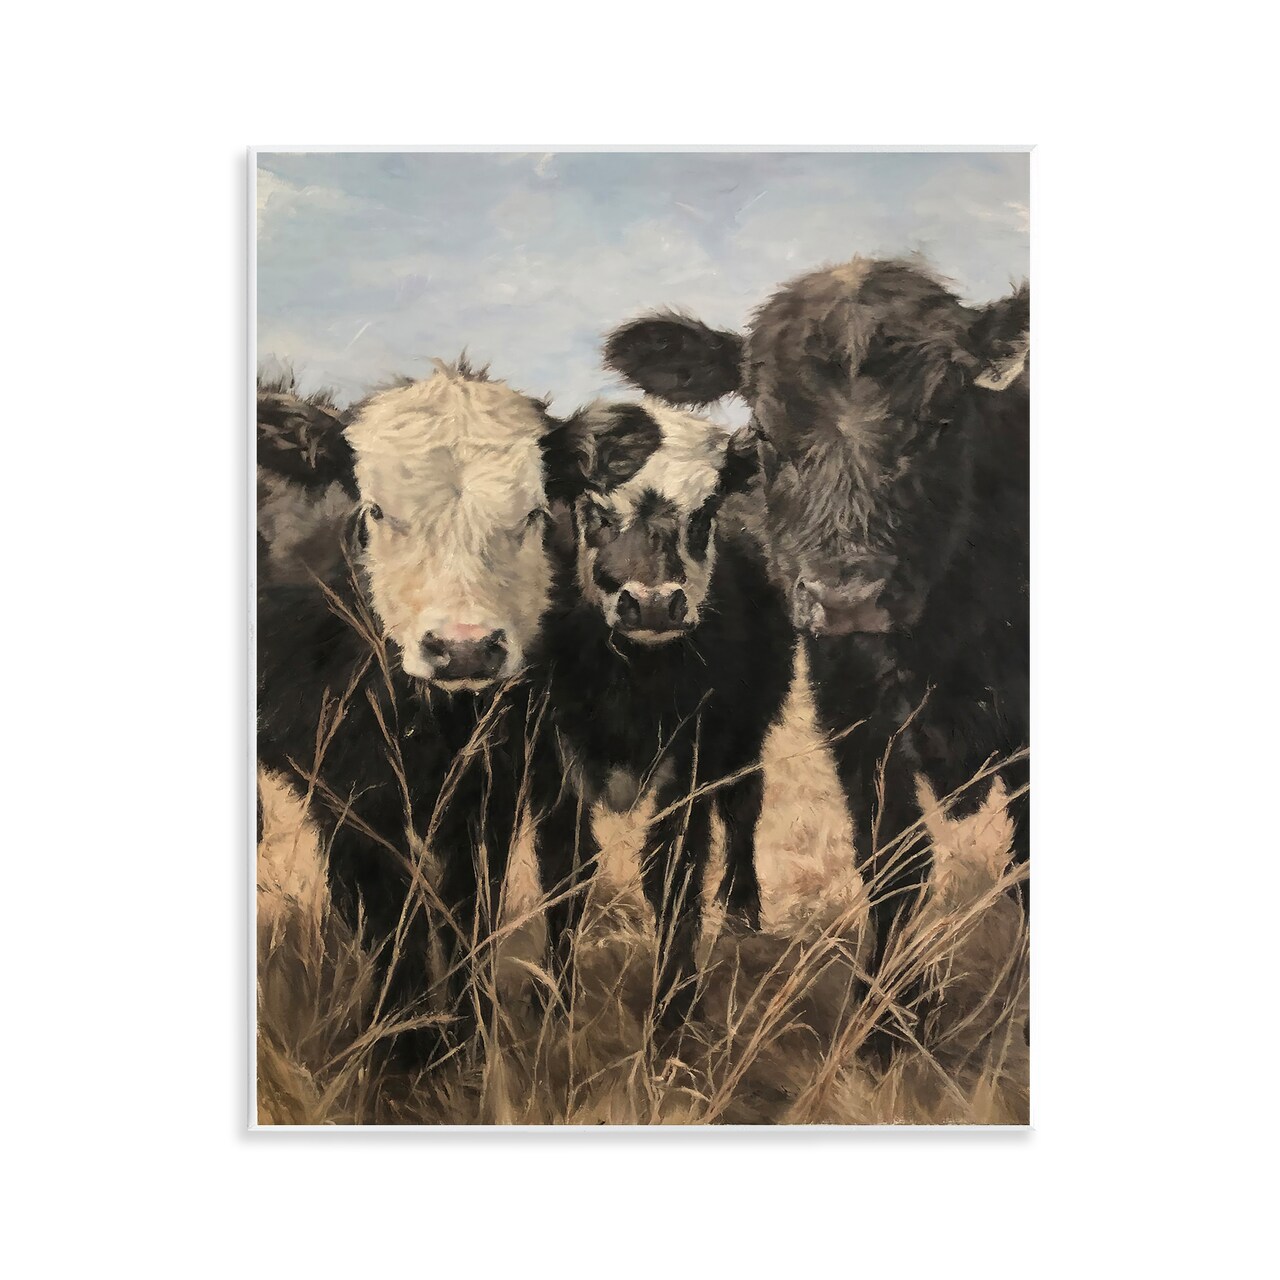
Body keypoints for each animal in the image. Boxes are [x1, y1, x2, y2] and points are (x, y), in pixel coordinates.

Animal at [526, 398, 797, 1033]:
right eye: (594, 510)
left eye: (705, 513)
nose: (651, 604)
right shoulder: (548, 755)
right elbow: (565, 870)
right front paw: (553, 996)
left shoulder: (694, 753)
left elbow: (673, 869)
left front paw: (675, 1005)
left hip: (747, 731)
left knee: (744, 805)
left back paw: (742, 910)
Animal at [603, 257, 1029, 1061]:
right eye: (767, 433)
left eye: (943, 418)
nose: (847, 596)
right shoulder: (860, 724)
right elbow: (891, 863)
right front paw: (884, 1021)